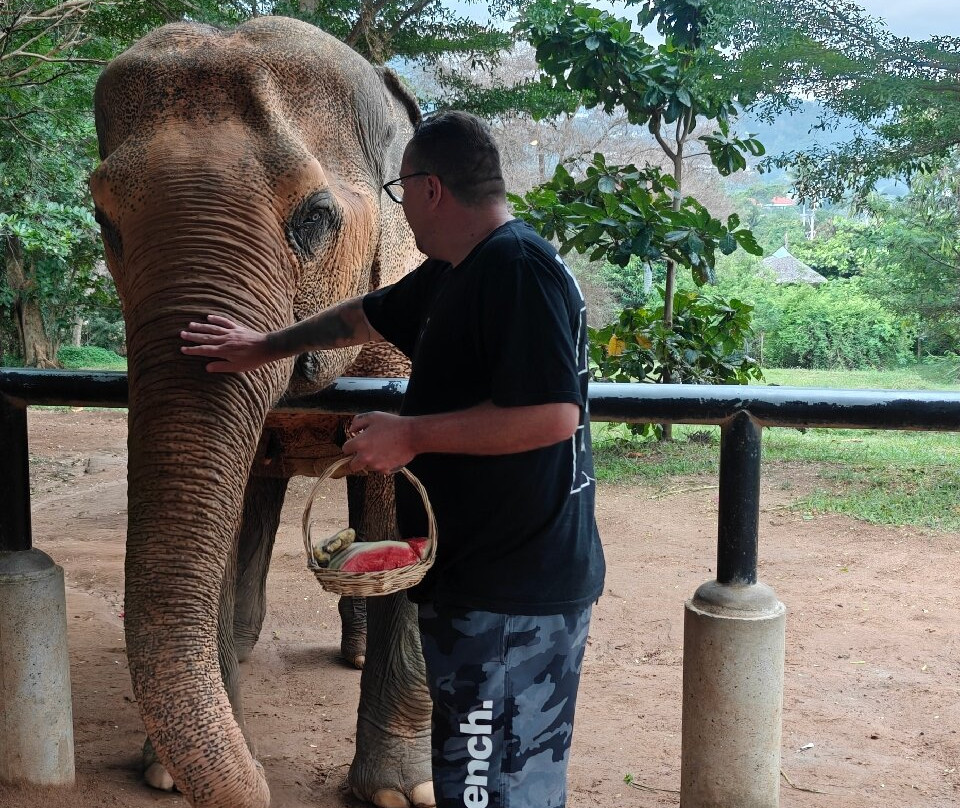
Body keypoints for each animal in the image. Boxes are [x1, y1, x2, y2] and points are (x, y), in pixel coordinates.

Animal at [88, 16, 433, 808]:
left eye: (315, 218)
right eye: (102, 219)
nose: (265, 790)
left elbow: (403, 508)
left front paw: (399, 794)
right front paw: (164, 776)